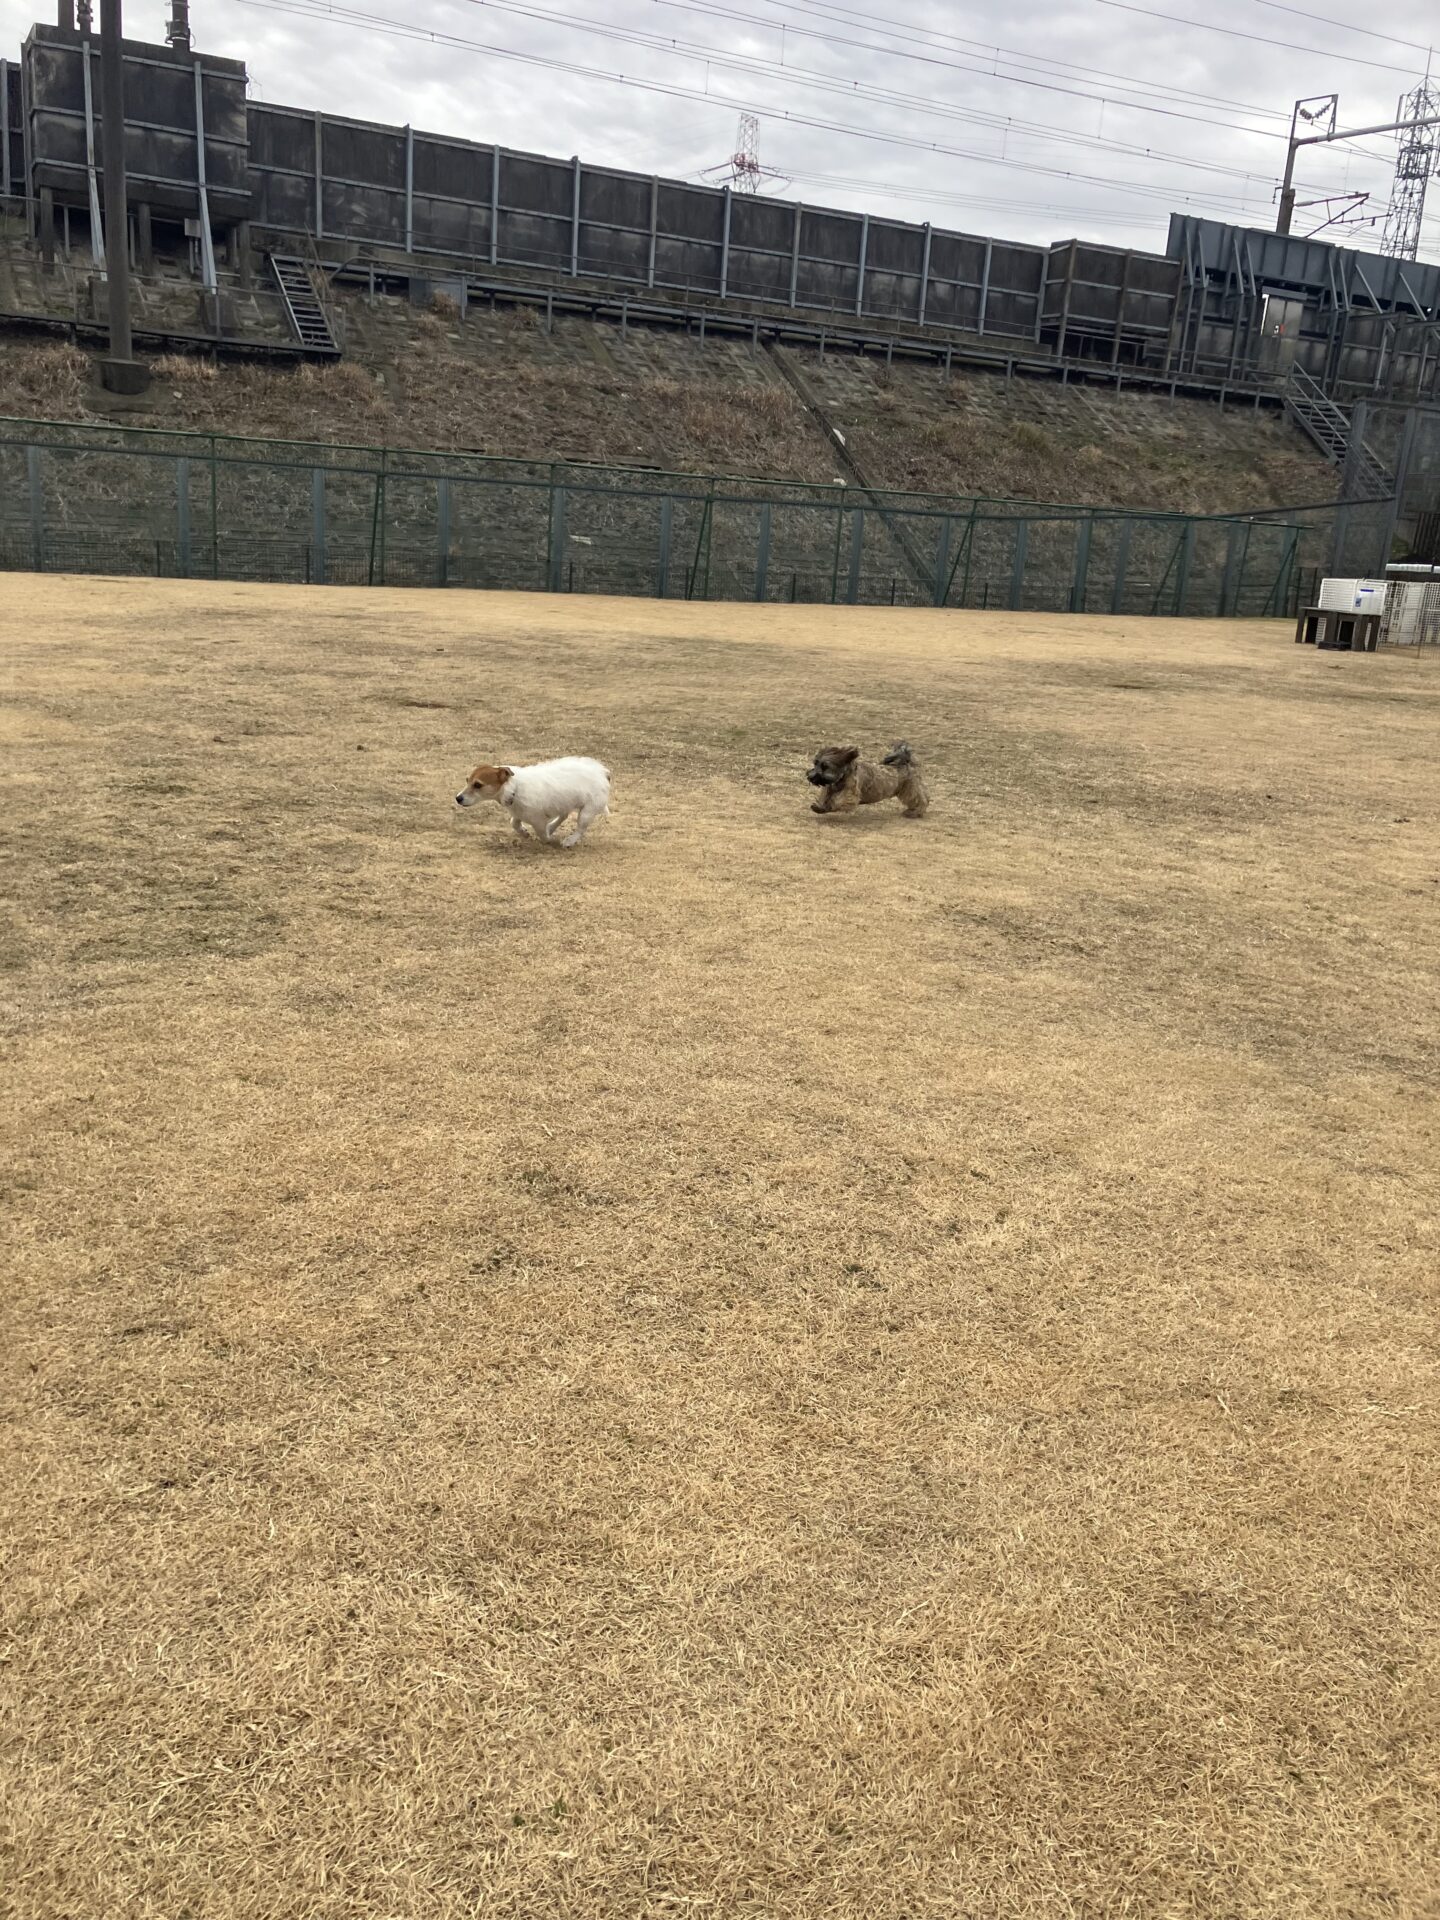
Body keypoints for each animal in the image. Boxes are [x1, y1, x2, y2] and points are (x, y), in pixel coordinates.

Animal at [455, 756, 611, 846]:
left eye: (477, 785)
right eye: (467, 780)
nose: (458, 798)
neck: (514, 789)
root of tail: (603, 773)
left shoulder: (538, 820)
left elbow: (542, 835)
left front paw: (549, 840)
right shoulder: (518, 812)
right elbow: (514, 823)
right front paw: (524, 832)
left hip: (586, 812)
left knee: (580, 829)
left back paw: (569, 841)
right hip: (563, 802)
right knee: (563, 815)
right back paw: (552, 827)